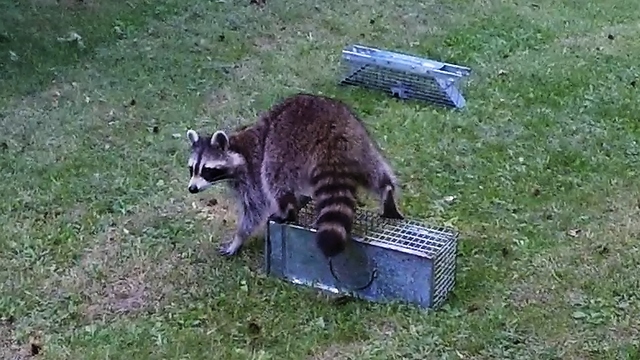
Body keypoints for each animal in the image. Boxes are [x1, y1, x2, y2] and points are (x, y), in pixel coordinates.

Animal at [186, 93, 404, 258]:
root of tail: (330, 127)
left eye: (207, 170)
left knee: (273, 177)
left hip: (285, 144)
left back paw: (287, 211)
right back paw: (386, 190)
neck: (236, 149)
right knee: (374, 170)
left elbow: (255, 208)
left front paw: (238, 239)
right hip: (359, 141)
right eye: (192, 169)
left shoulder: (251, 172)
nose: (192, 188)